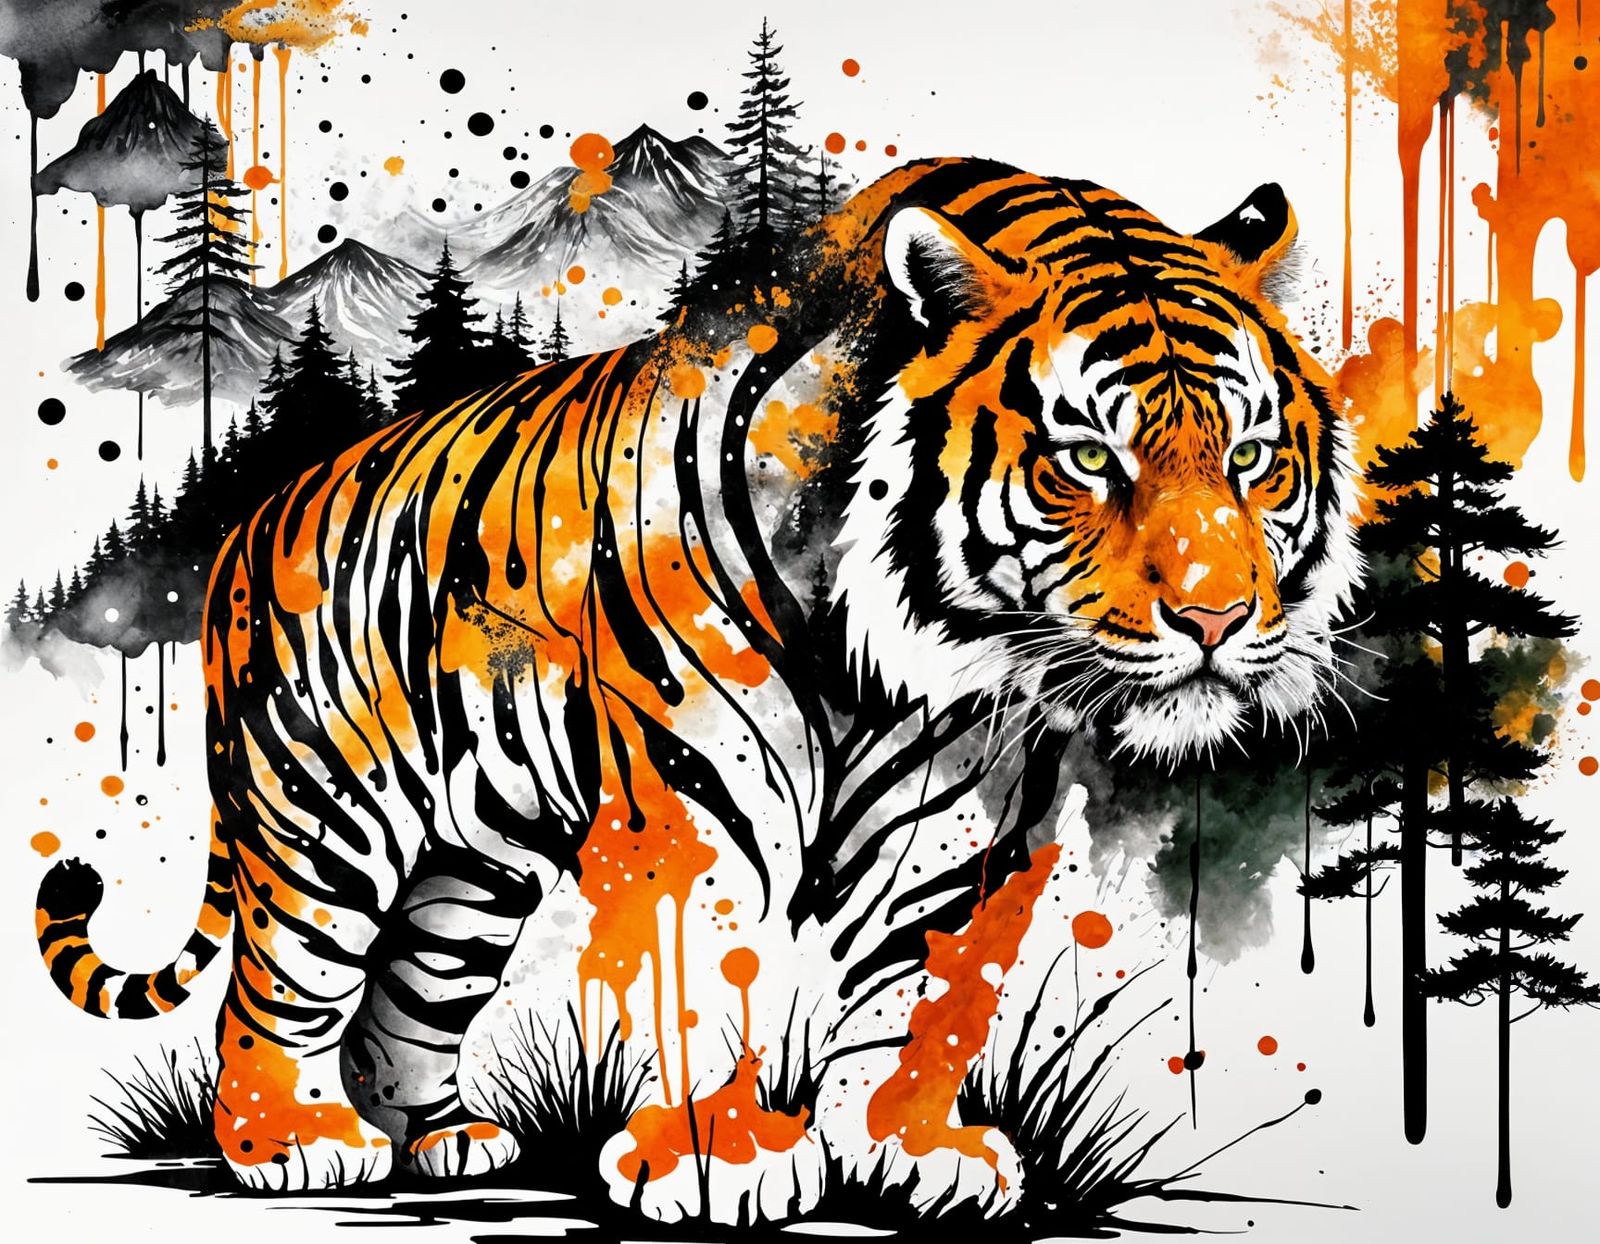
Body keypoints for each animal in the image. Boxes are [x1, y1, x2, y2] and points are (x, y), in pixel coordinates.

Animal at [34, 157, 1358, 1213]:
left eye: (1249, 456)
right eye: (1087, 457)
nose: (1216, 616)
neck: (915, 659)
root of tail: (249, 526)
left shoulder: (970, 807)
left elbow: (933, 989)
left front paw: (911, 1144)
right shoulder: (695, 796)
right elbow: (716, 971)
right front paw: (715, 1157)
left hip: (477, 860)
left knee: (408, 997)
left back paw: (449, 1135)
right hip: (324, 811)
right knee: (280, 984)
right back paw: (293, 1139)